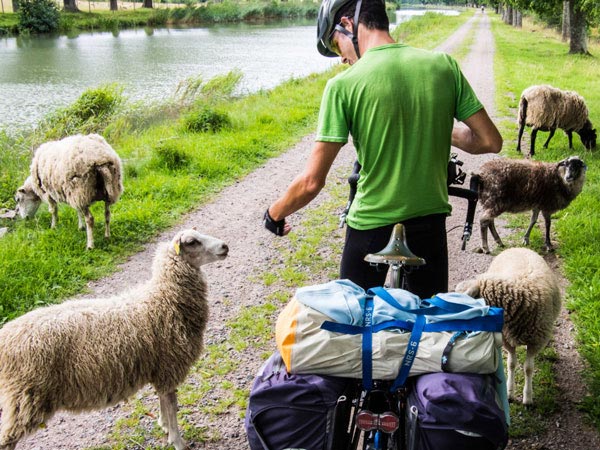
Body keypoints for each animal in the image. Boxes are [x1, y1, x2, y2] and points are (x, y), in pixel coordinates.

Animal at [0, 229, 229, 450]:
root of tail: (5, 336)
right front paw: (177, 441)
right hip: (26, 398)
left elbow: (164, 403)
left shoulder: (160, 369)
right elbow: (172, 406)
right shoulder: (169, 367)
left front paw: (163, 425)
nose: (225, 246)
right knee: (7, 439)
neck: (164, 297)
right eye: (192, 242)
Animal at [454, 248, 564, 406]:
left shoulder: (535, 341)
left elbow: (528, 368)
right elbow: (511, 364)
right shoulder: (506, 339)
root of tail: (518, 248)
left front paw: (527, 398)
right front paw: (509, 393)